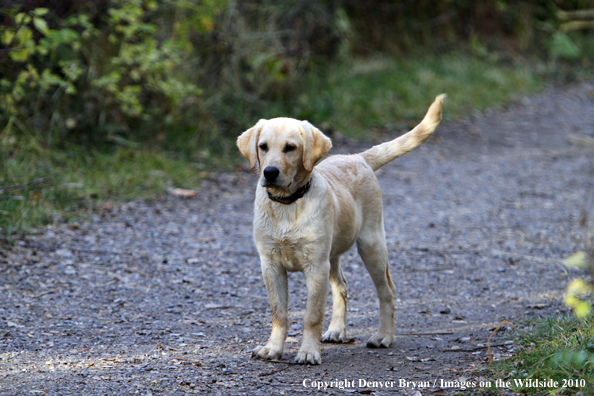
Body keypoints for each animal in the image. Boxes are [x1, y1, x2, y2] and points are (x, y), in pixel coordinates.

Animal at [236, 93, 444, 366]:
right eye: (263, 146)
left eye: (290, 148)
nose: (270, 172)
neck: (288, 205)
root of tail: (358, 157)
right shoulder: (270, 265)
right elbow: (278, 312)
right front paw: (273, 348)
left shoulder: (316, 266)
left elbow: (312, 315)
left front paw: (308, 352)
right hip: (333, 256)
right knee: (342, 286)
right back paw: (336, 330)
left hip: (371, 245)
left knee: (387, 290)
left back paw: (384, 336)